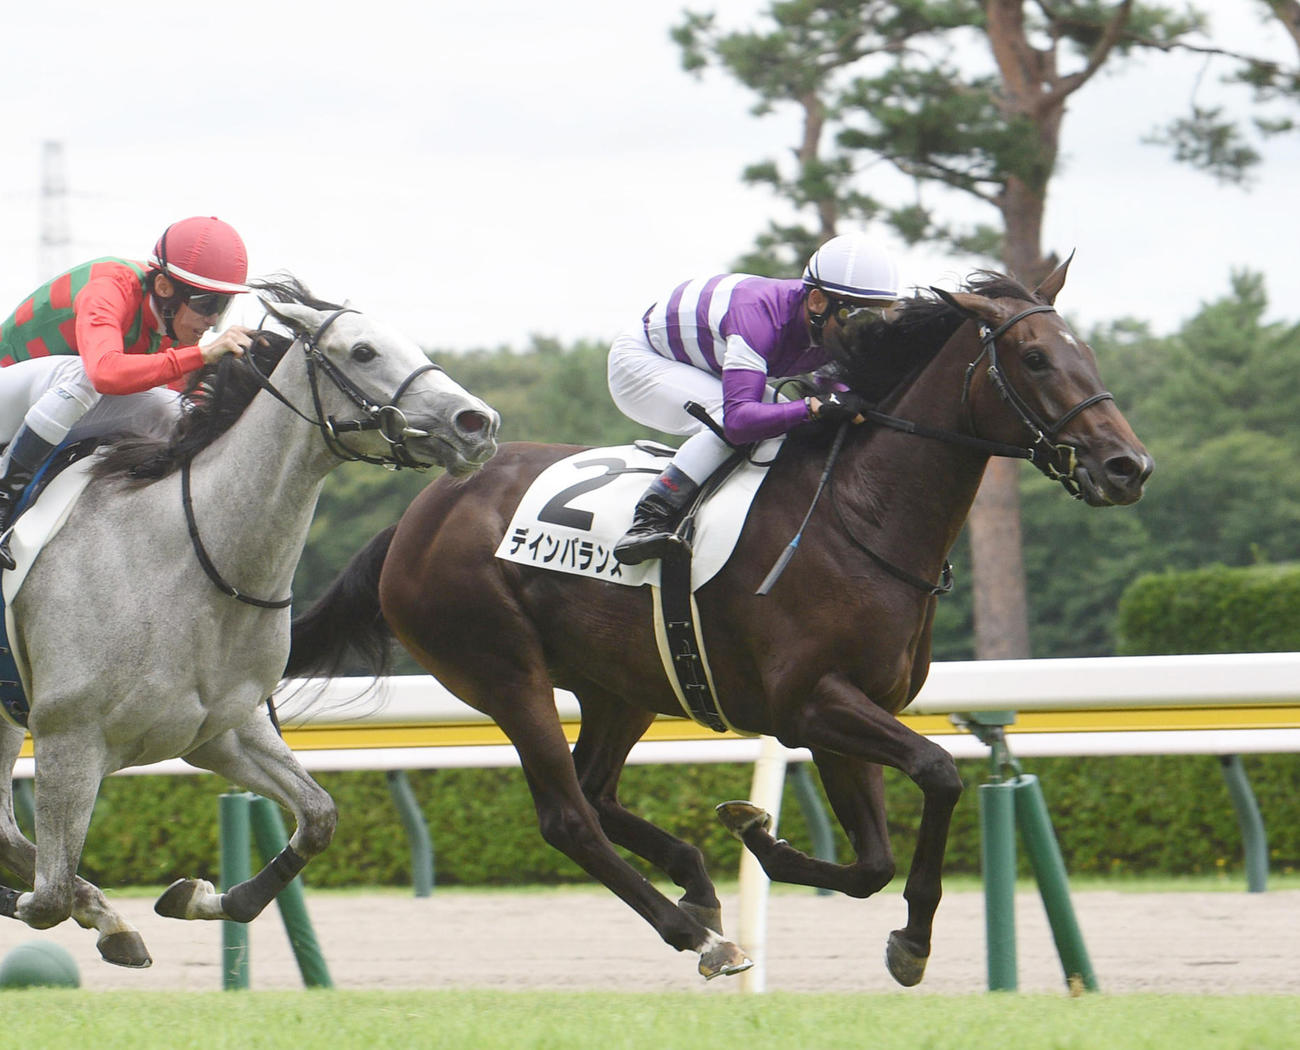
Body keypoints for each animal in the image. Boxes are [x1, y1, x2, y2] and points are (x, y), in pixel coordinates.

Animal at [0, 277, 499, 968]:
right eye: (363, 350)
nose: (477, 423)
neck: (187, 562)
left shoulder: (223, 731)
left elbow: (319, 817)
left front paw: (194, 895)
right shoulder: (67, 738)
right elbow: (46, 898)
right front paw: (99, 912)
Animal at [285, 258, 1152, 984]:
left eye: (1088, 354)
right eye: (1034, 359)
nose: (1127, 467)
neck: (858, 514)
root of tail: (414, 519)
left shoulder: (848, 710)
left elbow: (872, 861)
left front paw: (772, 843)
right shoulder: (811, 702)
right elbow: (939, 772)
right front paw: (898, 932)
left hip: (621, 685)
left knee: (596, 791)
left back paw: (696, 884)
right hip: (505, 673)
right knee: (568, 817)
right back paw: (699, 935)